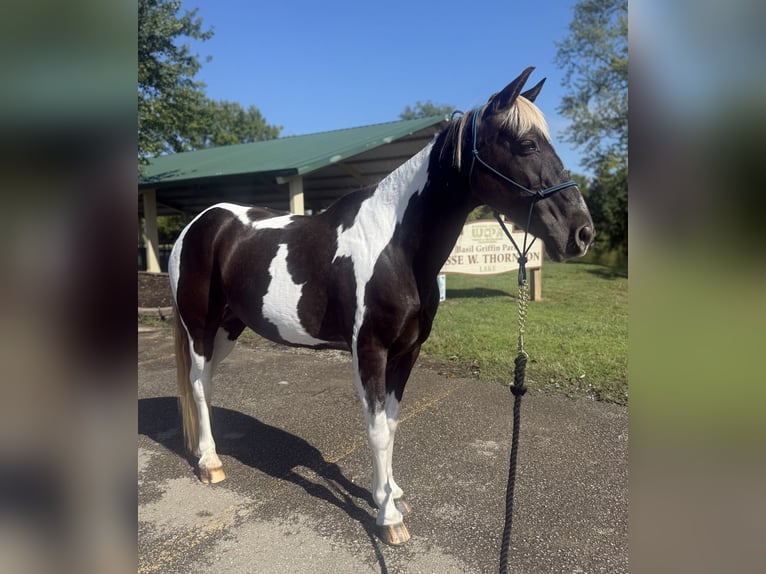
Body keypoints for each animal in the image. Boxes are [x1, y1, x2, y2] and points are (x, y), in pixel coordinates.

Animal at [168, 67, 594, 545]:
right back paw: (210, 463)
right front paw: (388, 519)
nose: (582, 233)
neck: (395, 247)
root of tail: (199, 223)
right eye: (525, 144)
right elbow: (375, 430)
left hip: (228, 327)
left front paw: (388, 492)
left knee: (207, 384)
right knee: (199, 385)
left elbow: (390, 424)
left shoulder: (407, 351)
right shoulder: (369, 350)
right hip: (199, 326)